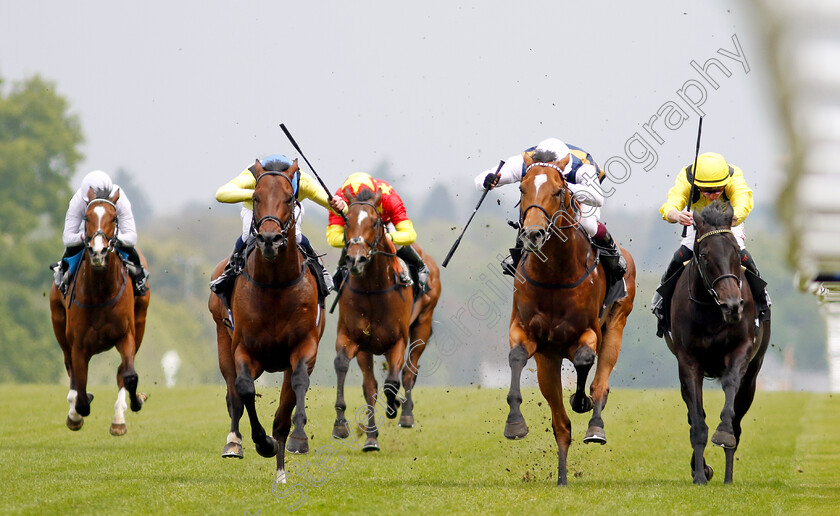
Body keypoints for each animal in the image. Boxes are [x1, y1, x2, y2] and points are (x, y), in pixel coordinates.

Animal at [49, 185, 151, 436]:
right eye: (86, 217)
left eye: (114, 218)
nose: (98, 252)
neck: (100, 292)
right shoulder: (78, 344)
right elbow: (81, 390)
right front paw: (76, 413)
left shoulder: (126, 335)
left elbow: (129, 375)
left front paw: (134, 404)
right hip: (59, 324)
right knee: (70, 369)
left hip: (140, 322)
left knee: (121, 372)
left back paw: (119, 416)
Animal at [209, 158, 324, 484]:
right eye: (257, 197)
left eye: (289, 199)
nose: (270, 239)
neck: (274, 285)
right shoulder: (244, 349)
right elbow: (245, 389)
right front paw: (263, 443)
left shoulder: (304, 347)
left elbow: (295, 391)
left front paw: (293, 441)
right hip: (222, 339)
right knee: (233, 393)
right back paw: (234, 443)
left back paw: (282, 466)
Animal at [332, 186, 442, 452]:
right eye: (347, 221)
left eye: (374, 222)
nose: (356, 259)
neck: (373, 290)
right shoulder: (354, 339)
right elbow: (351, 373)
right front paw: (346, 427)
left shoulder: (397, 340)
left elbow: (392, 383)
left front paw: (395, 406)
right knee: (374, 385)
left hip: (423, 325)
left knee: (409, 372)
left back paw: (406, 415)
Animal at [502, 151, 632, 486]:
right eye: (522, 189)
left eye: (558, 191)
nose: (533, 234)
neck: (554, 275)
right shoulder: (525, 331)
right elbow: (517, 356)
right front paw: (515, 423)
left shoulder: (588, 331)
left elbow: (586, 360)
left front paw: (581, 400)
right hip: (548, 363)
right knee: (561, 424)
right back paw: (561, 477)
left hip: (616, 325)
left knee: (601, 382)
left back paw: (594, 423)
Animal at [668, 199, 772, 484]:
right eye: (704, 255)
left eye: (736, 252)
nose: (733, 305)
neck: (712, 312)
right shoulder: (688, 361)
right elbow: (697, 419)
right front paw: (700, 473)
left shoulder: (741, 350)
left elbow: (730, 388)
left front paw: (723, 433)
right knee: (694, 414)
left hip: (753, 375)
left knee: (738, 420)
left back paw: (728, 475)